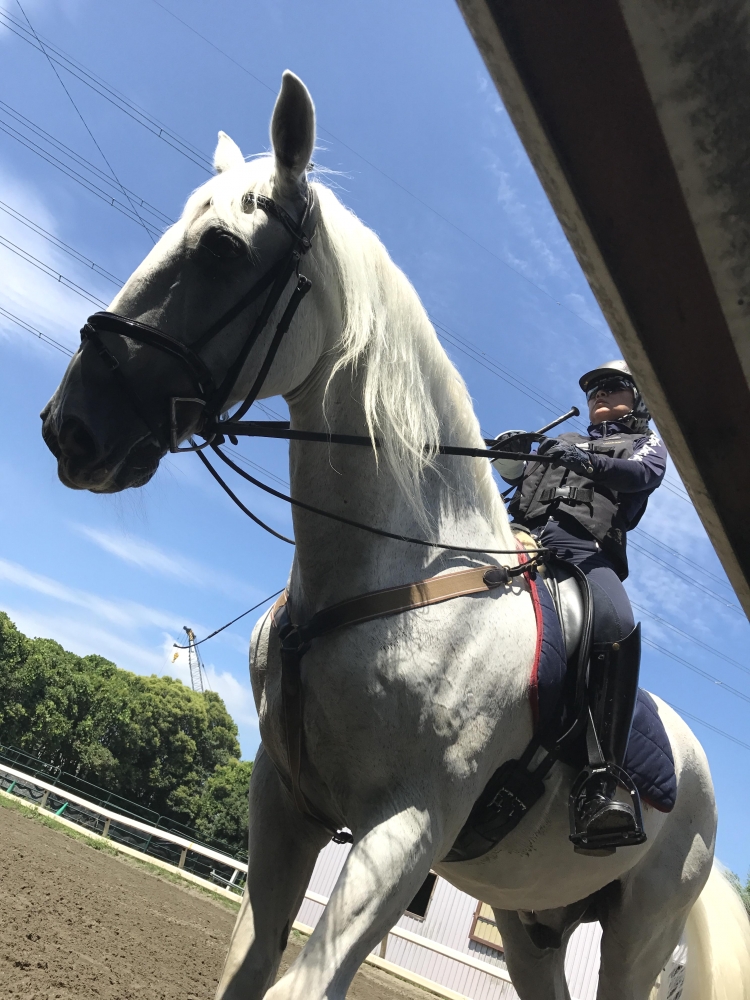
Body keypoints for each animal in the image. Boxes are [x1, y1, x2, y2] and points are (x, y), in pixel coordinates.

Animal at [40, 71, 750, 1000]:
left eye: (223, 249)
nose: (71, 425)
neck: (394, 579)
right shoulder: (284, 801)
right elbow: (247, 967)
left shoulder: (409, 827)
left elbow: (306, 983)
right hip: (530, 922)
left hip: (638, 933)